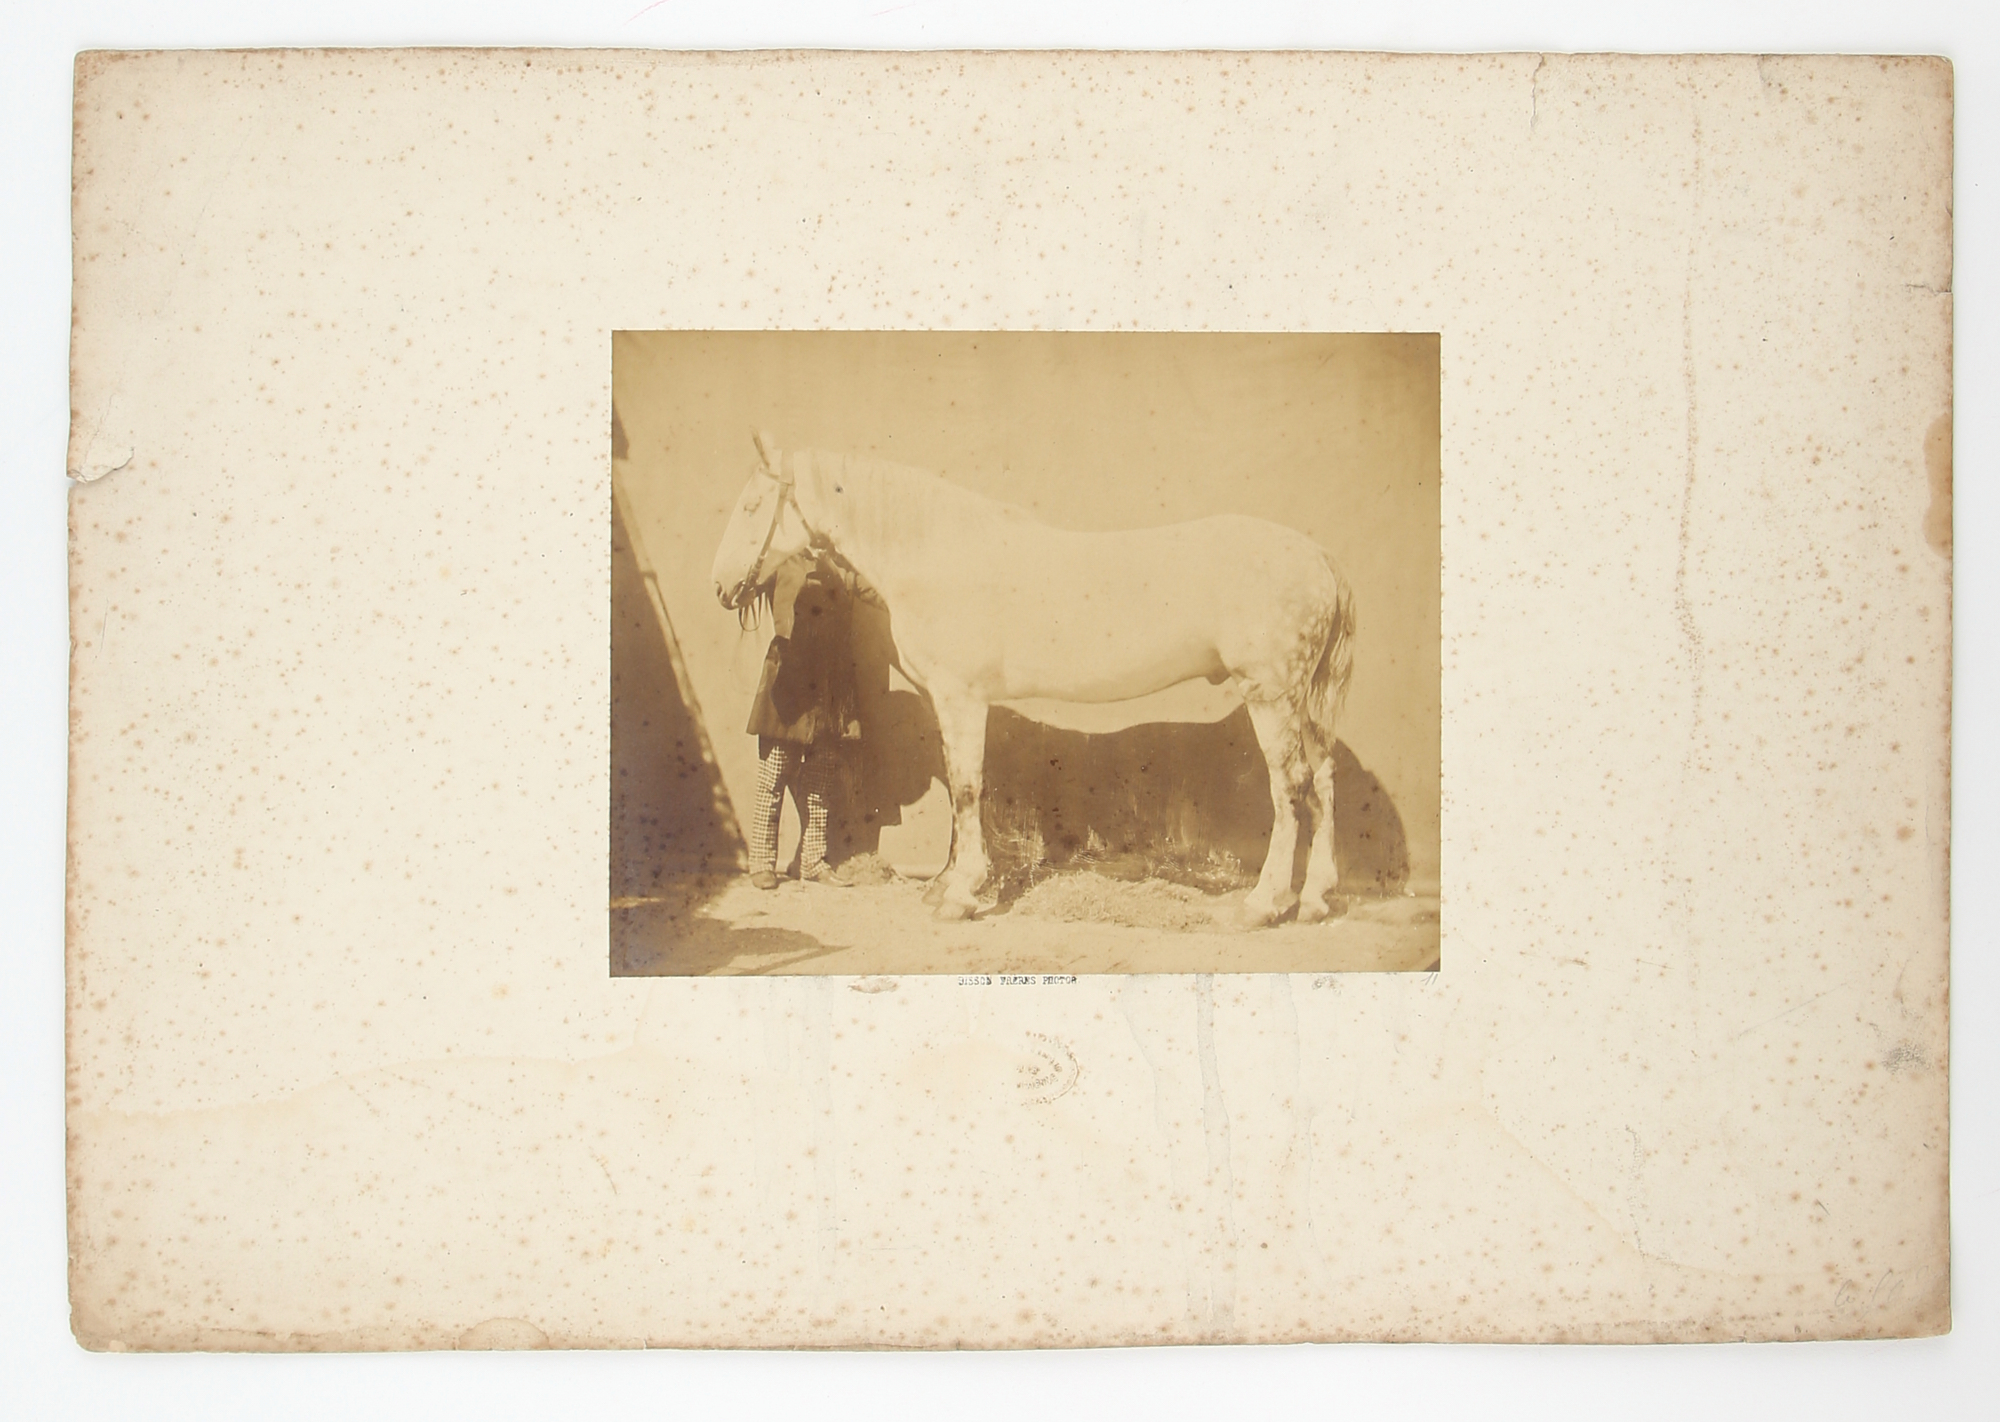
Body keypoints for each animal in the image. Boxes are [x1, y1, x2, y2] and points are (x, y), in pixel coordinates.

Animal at [710, 432, 1356, 927]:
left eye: (752, 506)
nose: (720, 587)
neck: (938, 556)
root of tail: (1320, 557)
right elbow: (965, 790)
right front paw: (950, 885)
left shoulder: (962, 698)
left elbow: (966, 788)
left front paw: (961, 895)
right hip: (1301, 703)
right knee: (1323, 780)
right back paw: (1316, 900)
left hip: (1270, 696)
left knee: (1289, 787)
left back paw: (1262, 905)